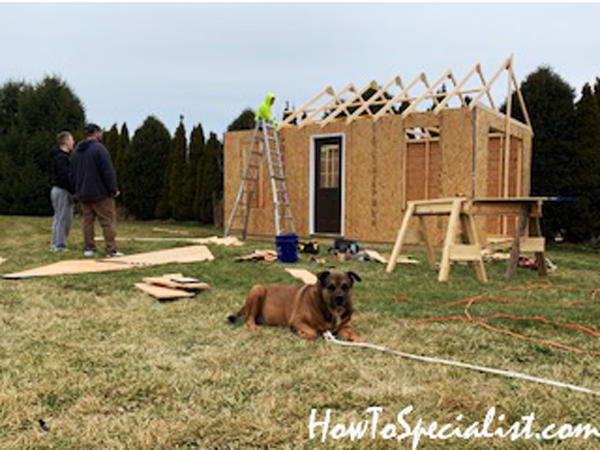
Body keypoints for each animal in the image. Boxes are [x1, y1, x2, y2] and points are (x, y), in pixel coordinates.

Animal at [229, 270, 360, 342]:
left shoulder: (345, 327)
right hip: (258, 288)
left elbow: (354, 335)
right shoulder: (297, 321)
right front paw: (301, 334)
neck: (331, 310)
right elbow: (313, 332)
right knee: (248, 319)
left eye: (345, 287)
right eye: (330, 287)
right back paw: (254, 327)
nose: (340, 298)